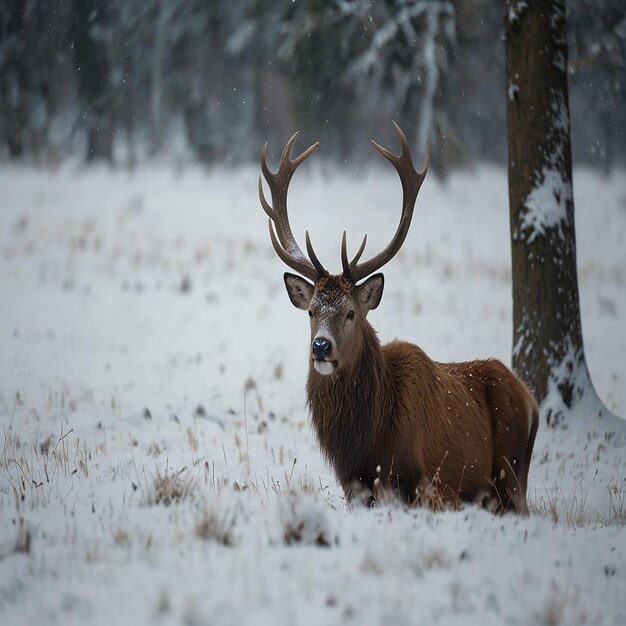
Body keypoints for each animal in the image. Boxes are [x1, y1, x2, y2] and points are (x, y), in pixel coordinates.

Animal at [258, 122, 536, 512]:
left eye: (351, 313)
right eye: (311, 311)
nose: (321, 347)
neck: (366, 442)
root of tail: (531, 398)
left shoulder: (425, 485)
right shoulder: (353, 487)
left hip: (511, 475)